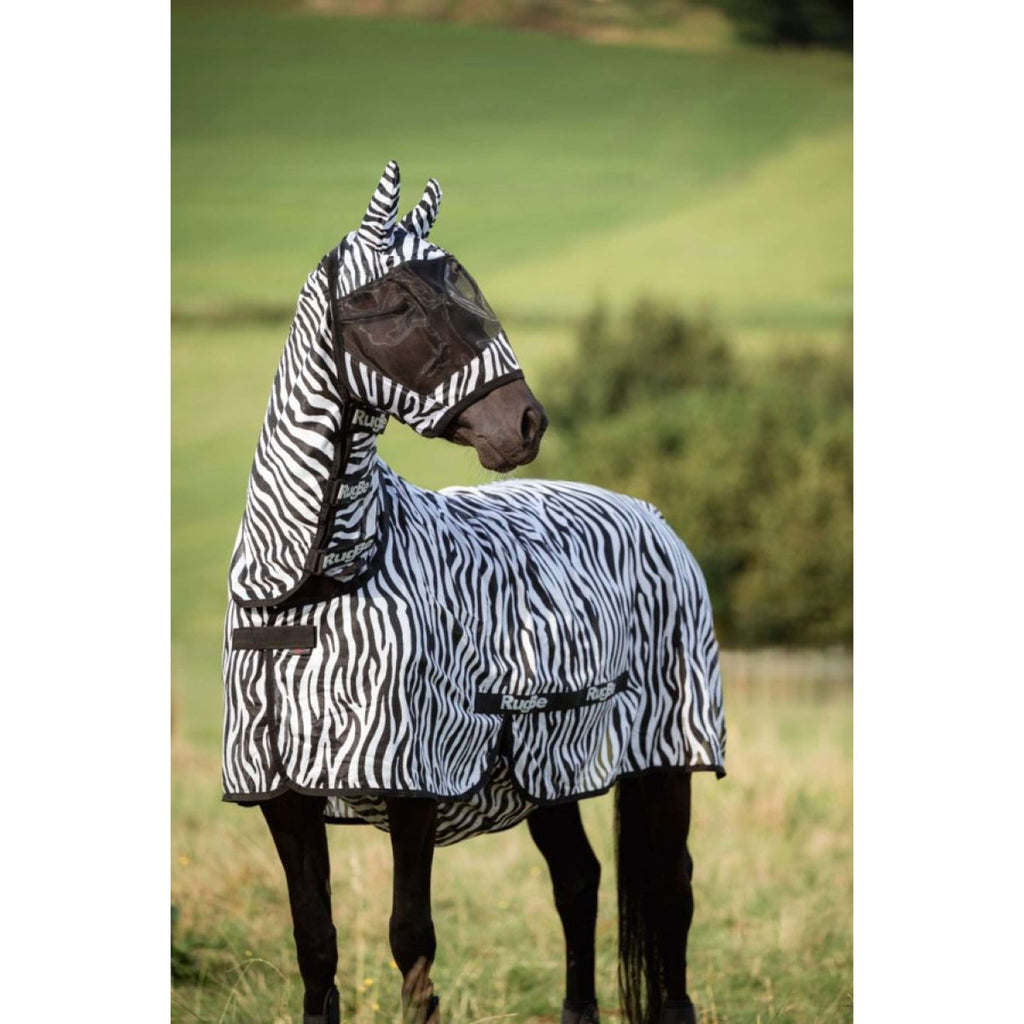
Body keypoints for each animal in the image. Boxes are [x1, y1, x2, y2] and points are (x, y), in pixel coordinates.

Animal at [223, 162, 726, 1024]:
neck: (308, 587)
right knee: (579, 881)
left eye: (466, 284)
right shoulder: (283, 796)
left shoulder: (413, 783)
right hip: (551, 768)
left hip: (665, 757)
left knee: (672, 898)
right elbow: (316, 945)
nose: (525, 424)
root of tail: (651, 515)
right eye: (397, 301)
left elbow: (410, 942)